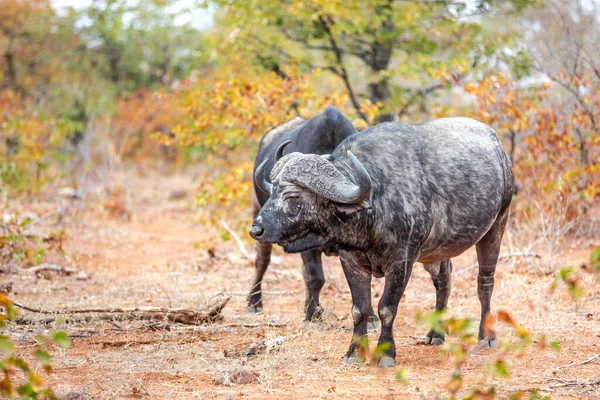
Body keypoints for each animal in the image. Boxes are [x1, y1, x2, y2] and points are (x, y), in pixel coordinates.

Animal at [251, 117, 512, 368]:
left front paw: (386, 352)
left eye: (292, 196)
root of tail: (501, 153)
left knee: (484, 282)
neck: (374, 204)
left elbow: (387, 307)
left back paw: (487, 336)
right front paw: (354, 352)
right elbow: (359, 308)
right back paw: (436, 334)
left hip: (496, 225)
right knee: (444, 281)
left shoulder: (402, 260)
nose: (256, 229)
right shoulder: (351, 260)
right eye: (272, 191)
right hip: (438, 250)